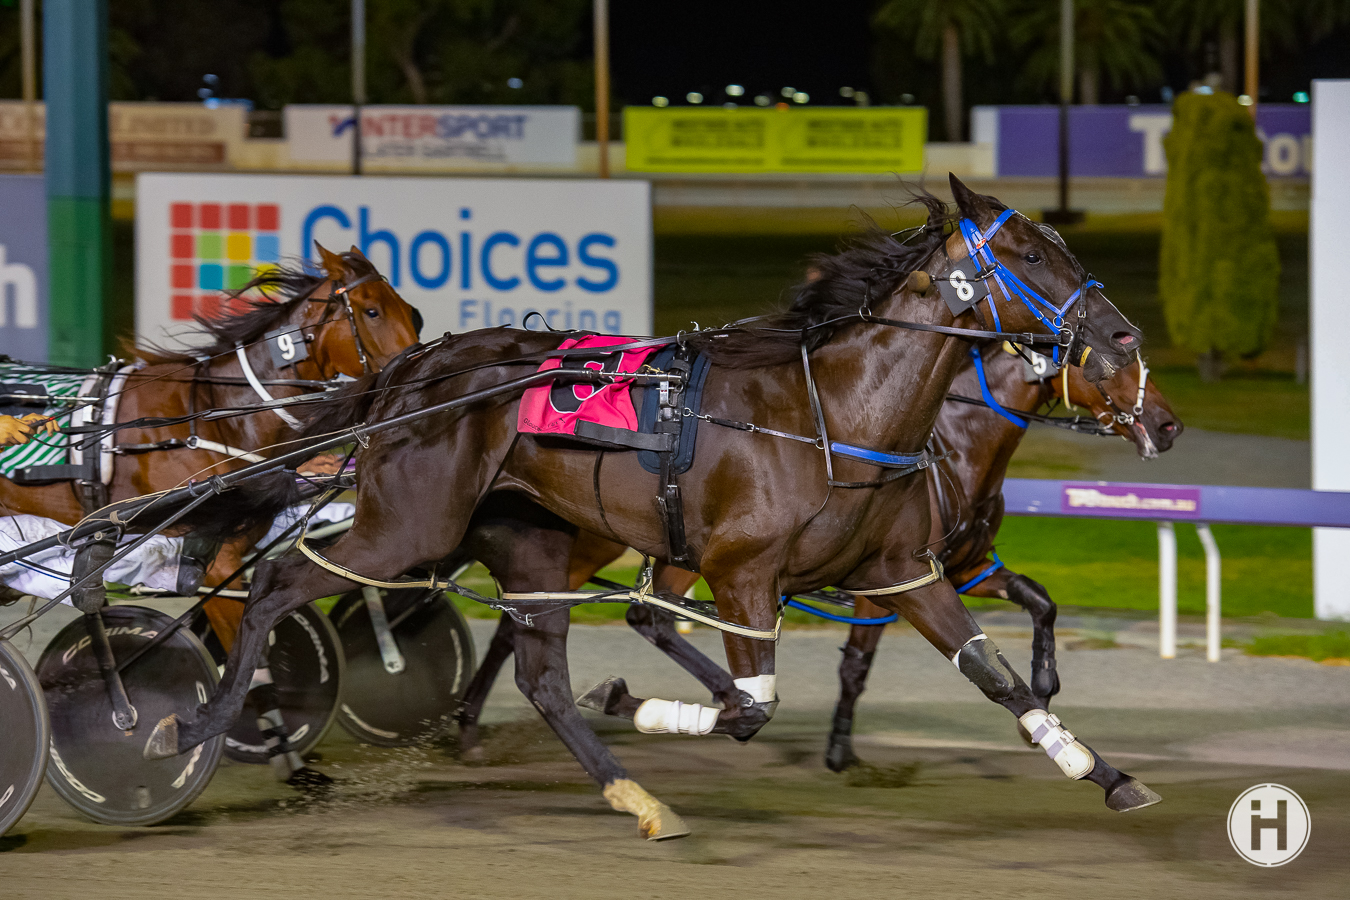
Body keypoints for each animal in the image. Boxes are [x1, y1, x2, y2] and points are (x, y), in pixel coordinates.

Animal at [450, 340, 1183, 767]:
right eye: (1107, 362)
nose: (1169, 423)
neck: (952, 449)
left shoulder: (966, 568)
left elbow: (1040, 600)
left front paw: (1045, 682)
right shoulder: (880, 581)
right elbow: (857, 665)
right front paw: (837, 747)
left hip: (675, 552)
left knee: (629, 616)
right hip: (601, 539)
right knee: (538, 623)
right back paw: (467, 720)